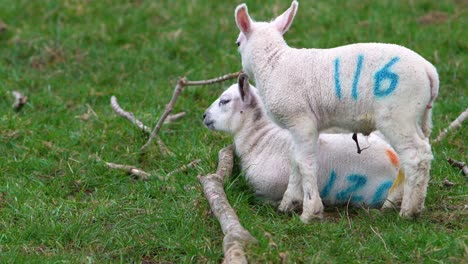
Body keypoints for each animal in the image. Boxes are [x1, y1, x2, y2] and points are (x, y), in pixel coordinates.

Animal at [234, 1, 438, 223]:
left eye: (237, 43)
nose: (241, 72)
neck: (273, 64)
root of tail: (429, 71)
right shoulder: (297, 127)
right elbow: (294, 160)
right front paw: (288, 203)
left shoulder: (301, 120)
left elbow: (305, 163)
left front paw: (310, 212)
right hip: (416, 117)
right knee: (415, 155)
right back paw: (393, 203)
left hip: (398, 114)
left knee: (416, 156)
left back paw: (409, 210)